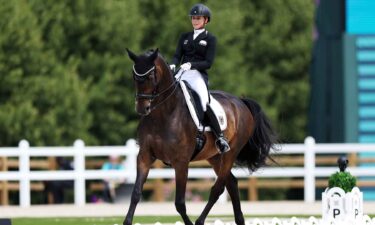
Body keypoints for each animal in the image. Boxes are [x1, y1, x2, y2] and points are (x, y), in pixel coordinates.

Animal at [125, 48, 278, 225]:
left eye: (150, 76)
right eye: (134, 76)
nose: (142, 108)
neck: (164, 114)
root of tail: (240, 102)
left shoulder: (181, 161)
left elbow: (179, 202)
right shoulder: (145, 156)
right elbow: (136, 193)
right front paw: (126, 221)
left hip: (230, 153)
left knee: (218, 188)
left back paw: (200, 221)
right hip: (214, 156)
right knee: (231, 183)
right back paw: (239, 220)